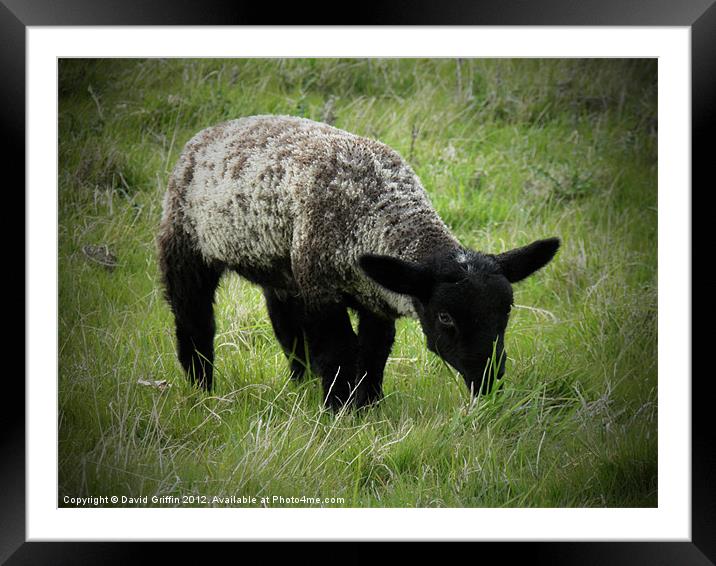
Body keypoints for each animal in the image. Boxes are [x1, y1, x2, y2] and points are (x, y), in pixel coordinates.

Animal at [158, 115, 560, 410]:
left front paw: (370, 405)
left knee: (287, 327)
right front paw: (339, 409)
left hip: (284, 268)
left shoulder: (374, 297)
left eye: (507, 310)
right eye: (445, 317)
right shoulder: (321, 289)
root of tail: (211, 132)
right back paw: (202, 388)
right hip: (184, 241)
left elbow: (374, 351)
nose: (488, 380)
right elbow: (339, 352)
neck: (376, 208)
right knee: (194, 320)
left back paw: (300, 383)